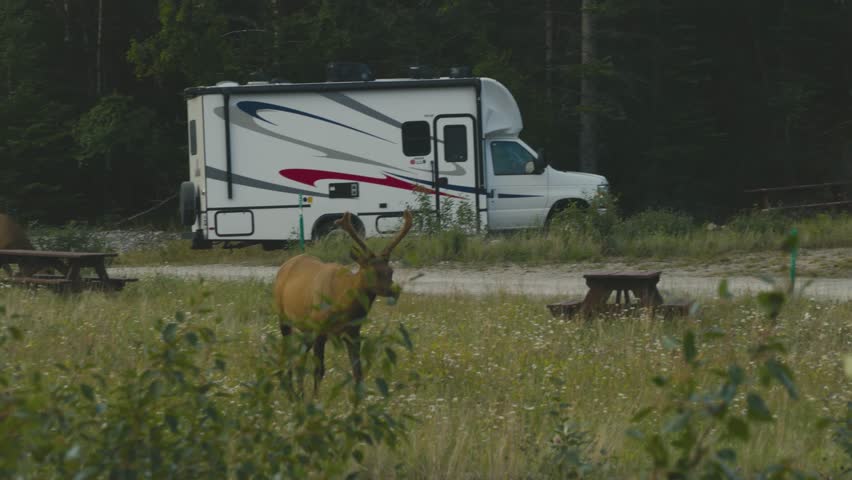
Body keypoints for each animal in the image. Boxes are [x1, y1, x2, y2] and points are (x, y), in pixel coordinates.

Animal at [273, 210, 413, 394]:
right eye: (372, 271)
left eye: (391, 270)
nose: (394, 290)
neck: (343, 302)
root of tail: (285, 265)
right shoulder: (320, 329)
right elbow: (319, 370)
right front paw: (315, 398)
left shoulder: (353, 332)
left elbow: (358, 372)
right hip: (284, 318)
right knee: (287, 355)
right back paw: (290, 391)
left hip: (306, 329)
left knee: (299, 359)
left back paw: (298, 393)